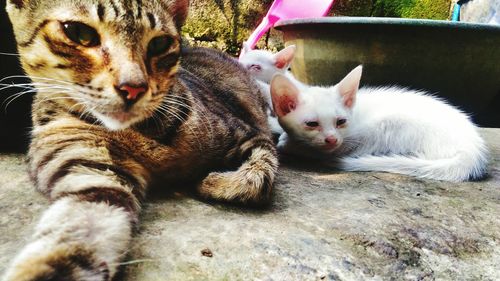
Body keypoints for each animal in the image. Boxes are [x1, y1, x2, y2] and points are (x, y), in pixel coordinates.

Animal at [2, 1, 278, 278]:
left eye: (159, 43)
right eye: (79, 33)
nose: (133, 87)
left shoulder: (250, 134)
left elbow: (259, 175)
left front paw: (214, 182)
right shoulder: (92, 174)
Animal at [272, 65, 490, 182]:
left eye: (341, 121)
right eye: (311, 123)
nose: (332, 139)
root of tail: (473, 148)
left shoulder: (350, 139)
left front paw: (290, 142)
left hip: (387, 125)